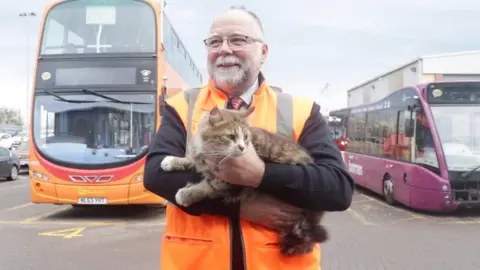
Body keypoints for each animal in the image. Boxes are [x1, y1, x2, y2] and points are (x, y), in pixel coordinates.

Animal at [159, 105, 328, 255]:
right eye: (231, 137)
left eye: (245, 137)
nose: (242, 148)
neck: (211, 152)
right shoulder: (201, 158)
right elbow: (191, 160)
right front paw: (173, 161)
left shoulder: (229, 181)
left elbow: (206, 187)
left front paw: (187, 194)